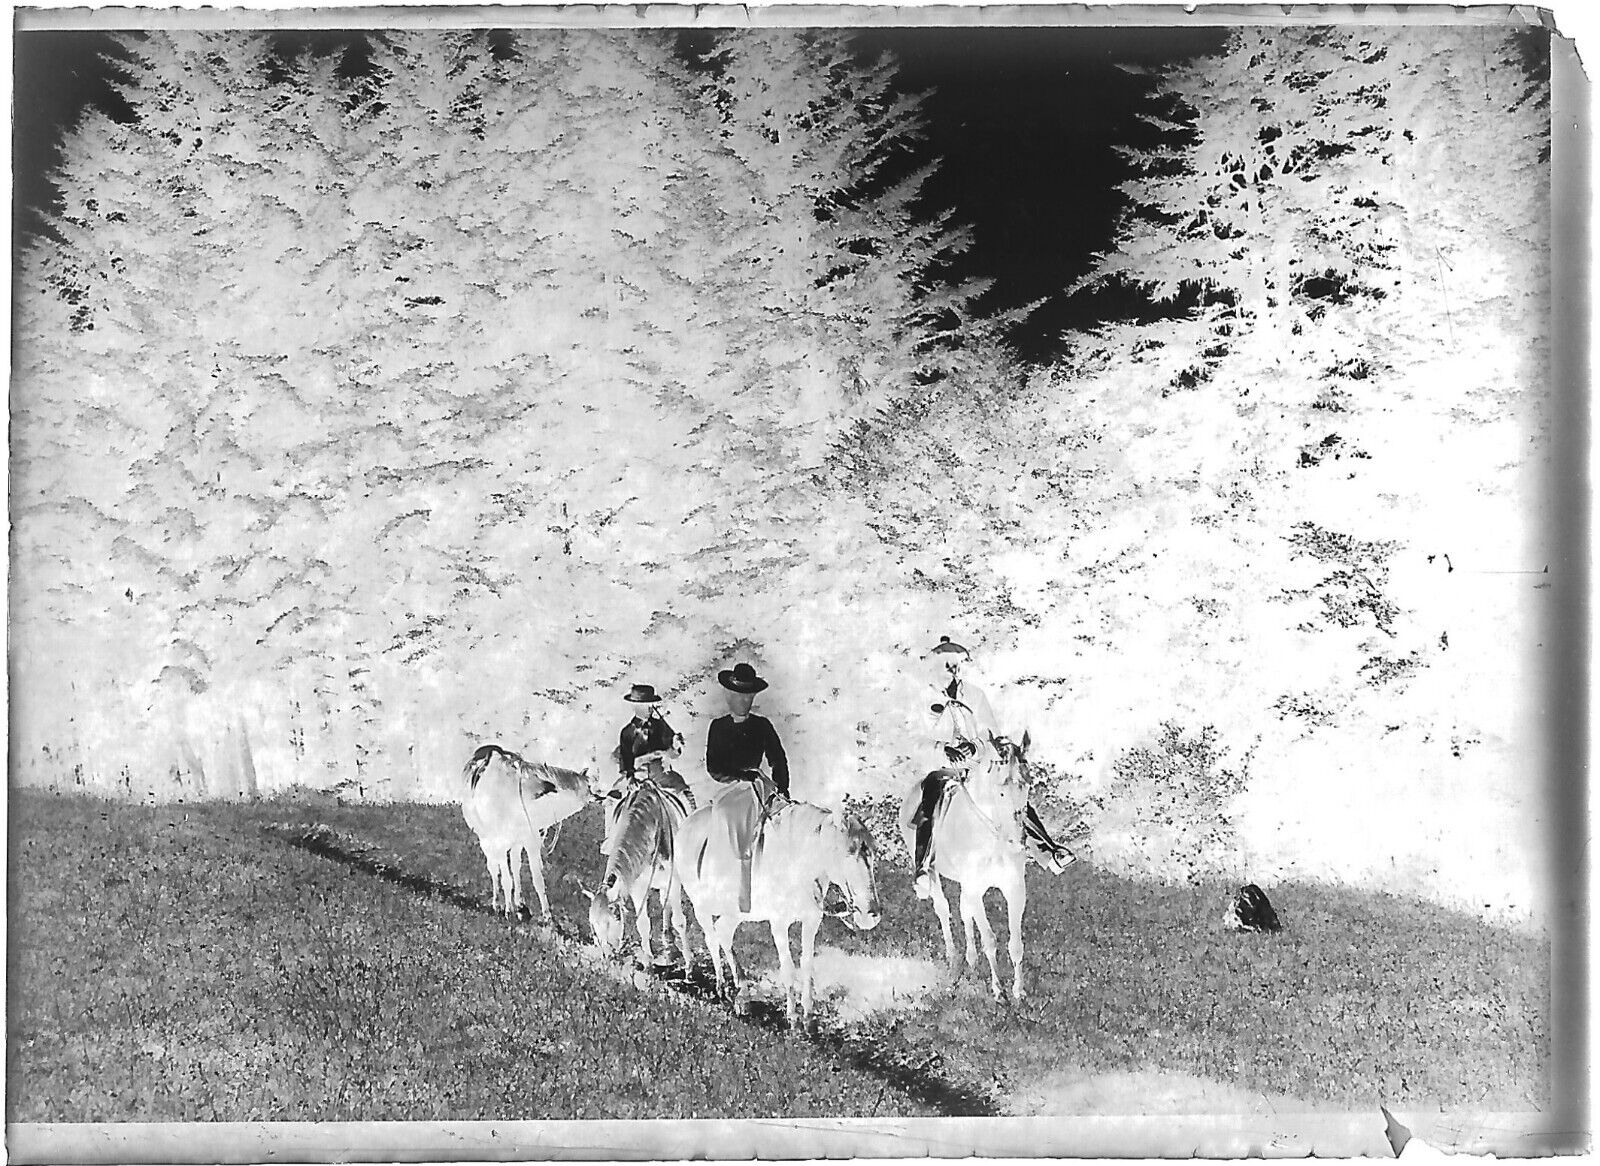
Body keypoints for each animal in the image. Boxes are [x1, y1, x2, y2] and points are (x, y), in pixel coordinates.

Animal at [464, 742, 595, 921]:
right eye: (589, 786)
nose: (598, 796)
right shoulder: (507, 841)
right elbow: (510, 877)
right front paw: (510, 910)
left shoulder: (525, 840)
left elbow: (529, 874)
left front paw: (535, 911)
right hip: (491, 840)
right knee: (496, 870)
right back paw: (501, 905)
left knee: (508, 868)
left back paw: (513, 904)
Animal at [672, 790, 883, 1030]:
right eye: (846, 852)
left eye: (874, 851)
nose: (871, 913)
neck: (795, 865)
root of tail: (686, 825)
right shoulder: (779, 924)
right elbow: (788, 968)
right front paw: (793, 1018)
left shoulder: (811, 922)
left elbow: (807, 965)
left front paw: (808, 1017)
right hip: (701, 905)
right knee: (711, 938)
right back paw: (720, 987)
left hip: (736, 912)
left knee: (723, 933)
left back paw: (742, 993)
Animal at [902, 732, 1036, 998]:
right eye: (1000, 790)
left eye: (1027, 785)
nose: (1017, 841)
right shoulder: (975, 888)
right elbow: (990, 939)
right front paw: (999, 991)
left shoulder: (1015, 889)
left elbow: (1015, 943)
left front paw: (1018, 990)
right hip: (933, 873)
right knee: (943, 909)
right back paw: (954, 960)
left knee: (965, 912)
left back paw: (971, 961)